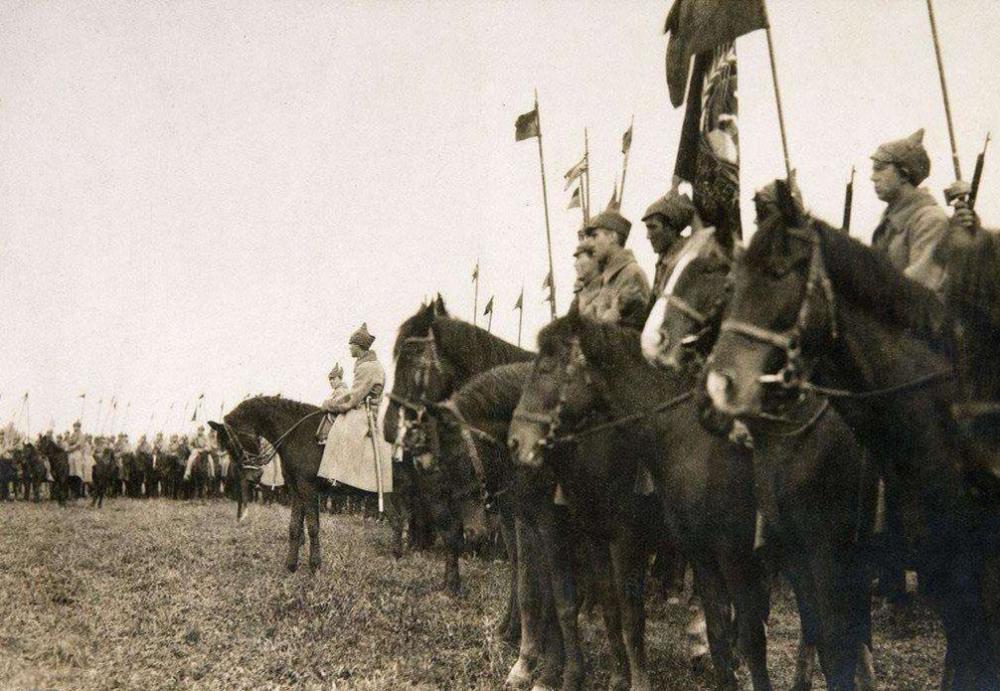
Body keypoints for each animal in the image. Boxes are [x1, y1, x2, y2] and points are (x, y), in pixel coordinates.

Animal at [704, 181, 1000, 691]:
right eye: (731, 286)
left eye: (779, 273)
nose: (720, 387)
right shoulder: (809, 562)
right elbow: (832, 650)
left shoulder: (838, 564)